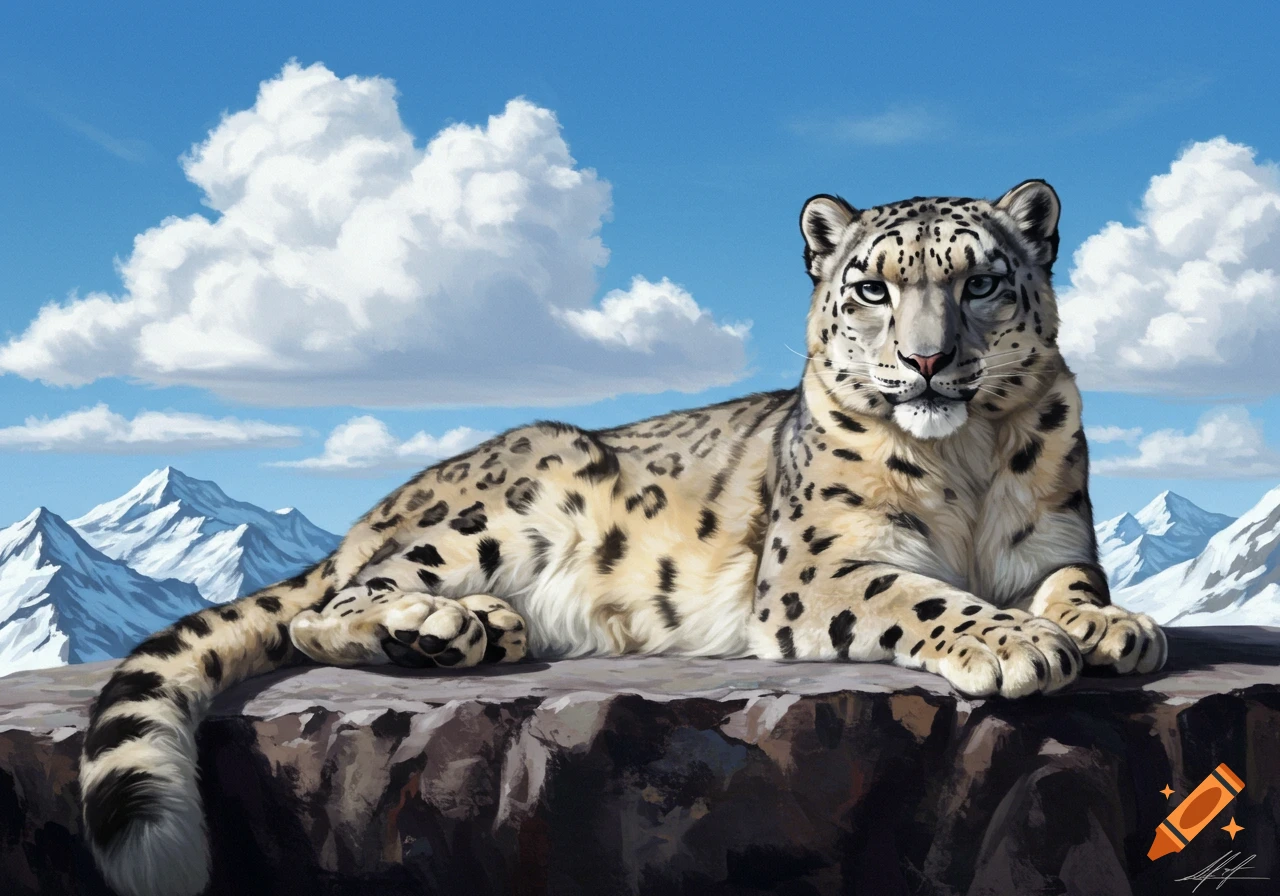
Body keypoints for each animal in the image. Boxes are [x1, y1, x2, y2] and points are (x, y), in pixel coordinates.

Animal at [79, 179, 1166, 896]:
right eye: (871, 289)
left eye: (980, 282)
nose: (928, 360)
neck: (967, 462)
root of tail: (375, 510)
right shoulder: (818, 566)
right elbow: (919, 594)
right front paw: (1014, 642)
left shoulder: (1056, 541)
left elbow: (1077, 582)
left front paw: (1118, 627)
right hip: (499, 508)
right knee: (329, 607)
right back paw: (443, 626)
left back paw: (484, 630)